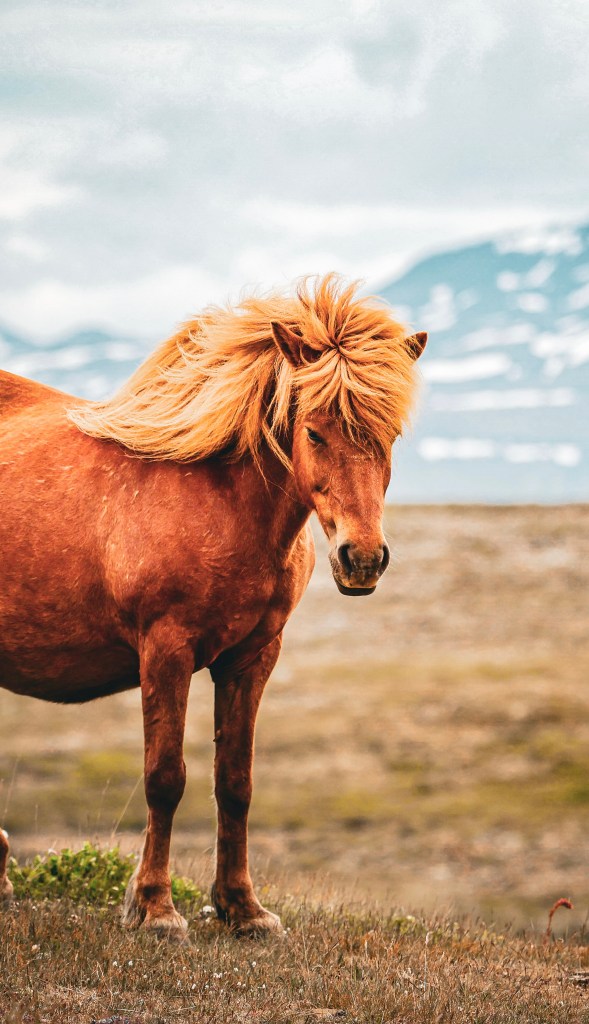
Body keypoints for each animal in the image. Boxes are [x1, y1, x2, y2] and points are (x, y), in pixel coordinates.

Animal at [0, 274, 427, 940]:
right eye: (314, 431)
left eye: (391, 437)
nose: (362, 559)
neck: (221, 502)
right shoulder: (166, 651)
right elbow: (165, 777)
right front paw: (154, 908)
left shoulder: (252, 658)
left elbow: (235, 782)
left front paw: (242, 909)